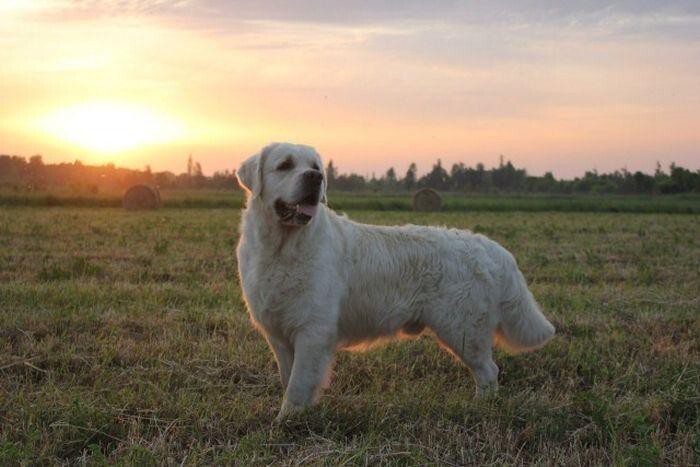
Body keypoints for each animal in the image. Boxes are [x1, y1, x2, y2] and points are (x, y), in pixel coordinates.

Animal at [238, 142, 556, 420]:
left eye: (315, 167)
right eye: (285, 165)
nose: (315, 178)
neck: (282, 249)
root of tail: (490, 246)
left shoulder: (312, 331)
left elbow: (298, 384)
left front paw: (286, 422)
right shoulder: (278, 334)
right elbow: (288, 378)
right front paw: (296, 417)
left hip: (463, 330)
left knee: (489, 371)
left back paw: (480, 407)